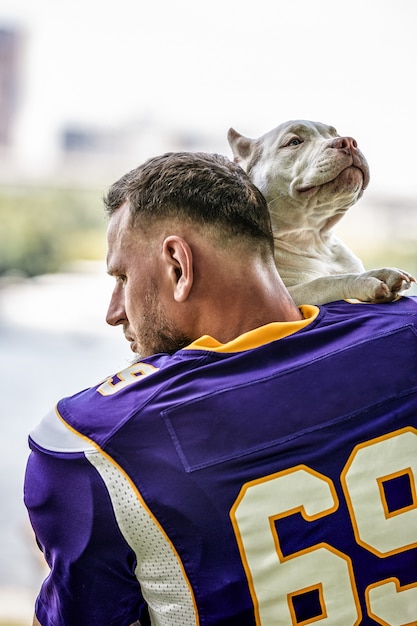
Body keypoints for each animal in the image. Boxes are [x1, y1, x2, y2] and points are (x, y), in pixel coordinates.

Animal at [228, 119, 412, 304]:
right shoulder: (285, 296)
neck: (315, 239)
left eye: (336, 134)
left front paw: (382, 273)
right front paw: (364, 281)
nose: (348, 142)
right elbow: (322, 282)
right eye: (294, 142)